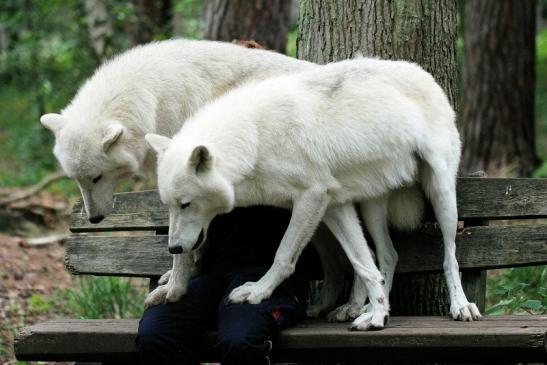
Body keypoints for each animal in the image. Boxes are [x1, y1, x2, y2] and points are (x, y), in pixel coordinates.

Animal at [147, 57, 484, 330]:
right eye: (170, 206)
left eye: (186, 204)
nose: (173, 248)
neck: (255, 138)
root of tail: (427, 75)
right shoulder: (334, 204)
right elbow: (363, 263)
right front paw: (378, 315)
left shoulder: (312, 197)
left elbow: (284, 254)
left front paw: (256, 291)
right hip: (370, 208)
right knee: (388, 255)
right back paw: (363, 308)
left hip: (441, 193)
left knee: (450, 256)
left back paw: (461, 306)